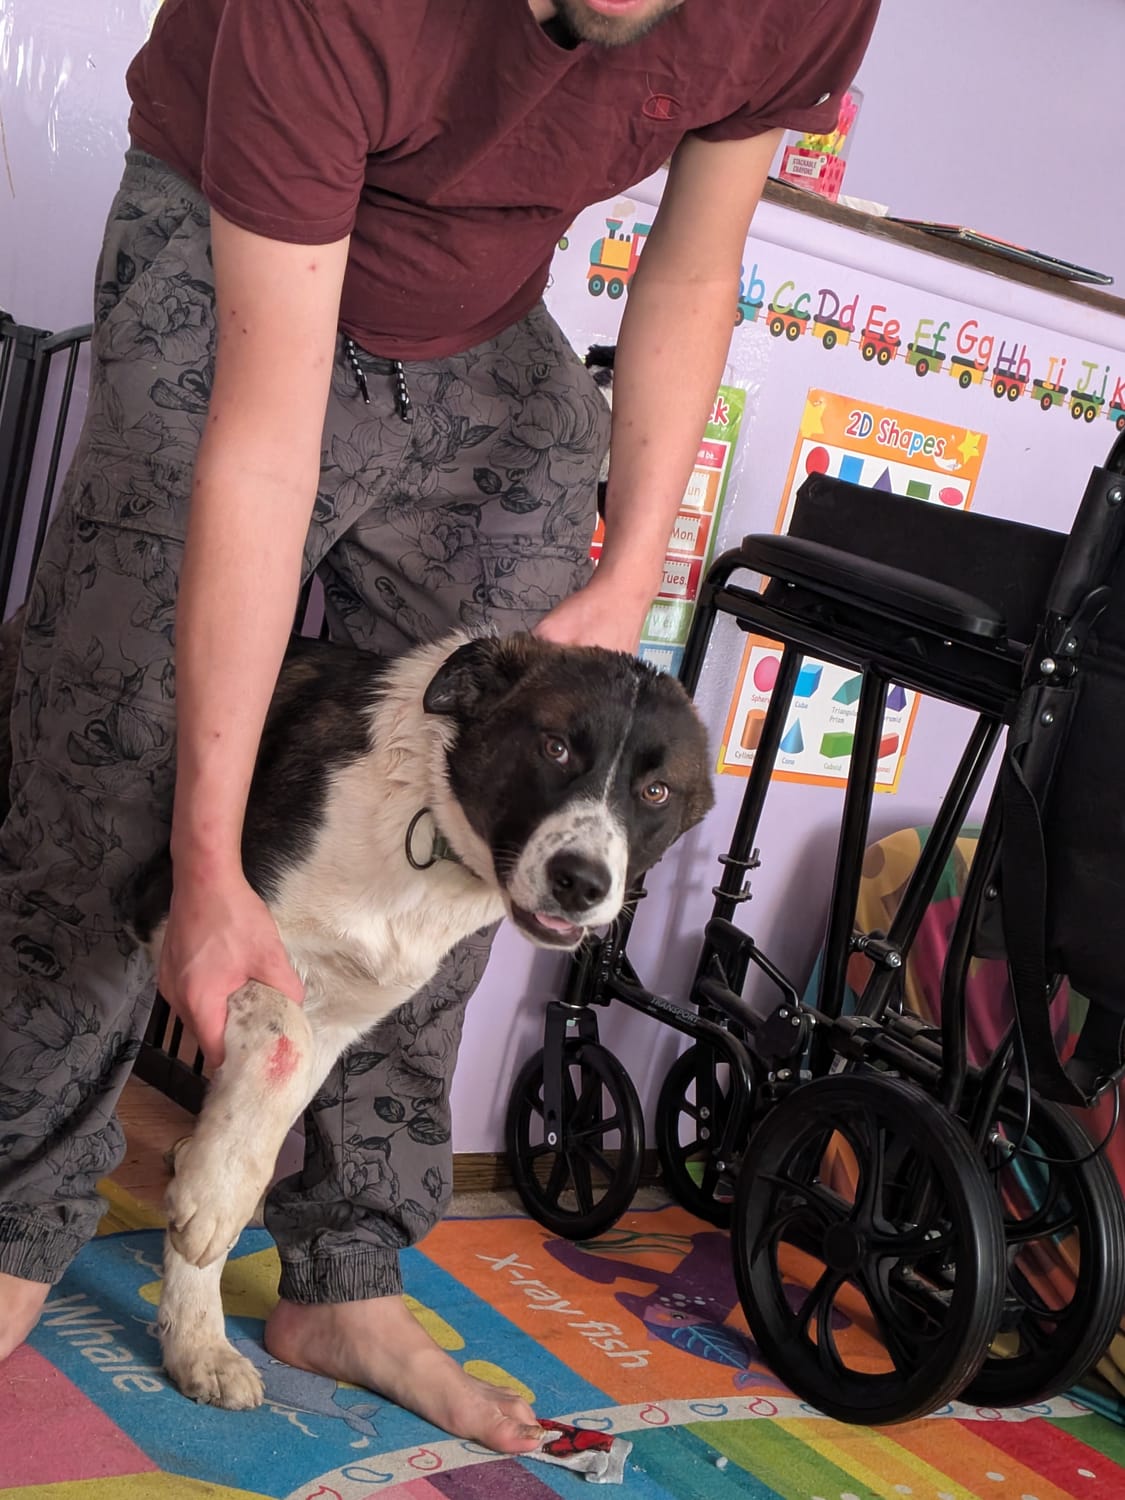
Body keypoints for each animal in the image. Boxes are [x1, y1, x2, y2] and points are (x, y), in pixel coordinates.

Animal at [123, 628, 714, 1409]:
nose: (582, 883)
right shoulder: (197, 924)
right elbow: (282, 1043)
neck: (428, 835)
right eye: (555, 747)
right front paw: (209, 1203)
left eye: (655, 792)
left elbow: (264, 1113)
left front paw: (197, 1340)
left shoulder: (338, 1017)